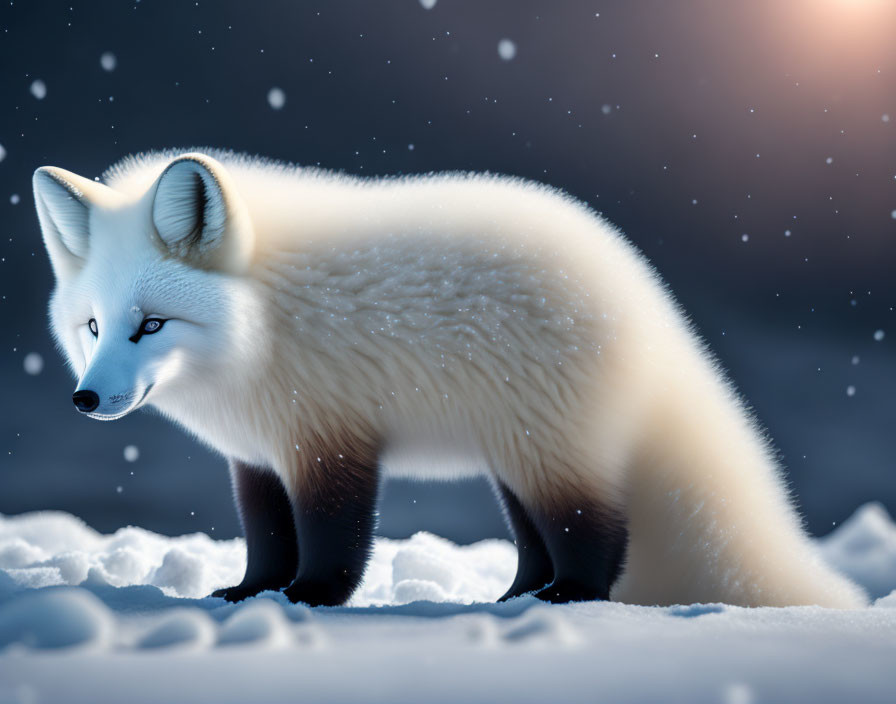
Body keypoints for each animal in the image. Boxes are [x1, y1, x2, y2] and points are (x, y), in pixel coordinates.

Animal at [35, 150, 868, 612]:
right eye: (94, 328)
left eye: (151, 326)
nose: (86, 399)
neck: (265, 322)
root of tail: (645, 292)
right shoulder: (259, 456)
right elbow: (266, 539)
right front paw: (253, 594)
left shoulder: (329, 441)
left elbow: (335, 543)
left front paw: (309, 601)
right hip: (515, 456)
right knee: (538, 544)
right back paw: (516, 596)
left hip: (549, 453)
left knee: (599, 537)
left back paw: (567, 600)